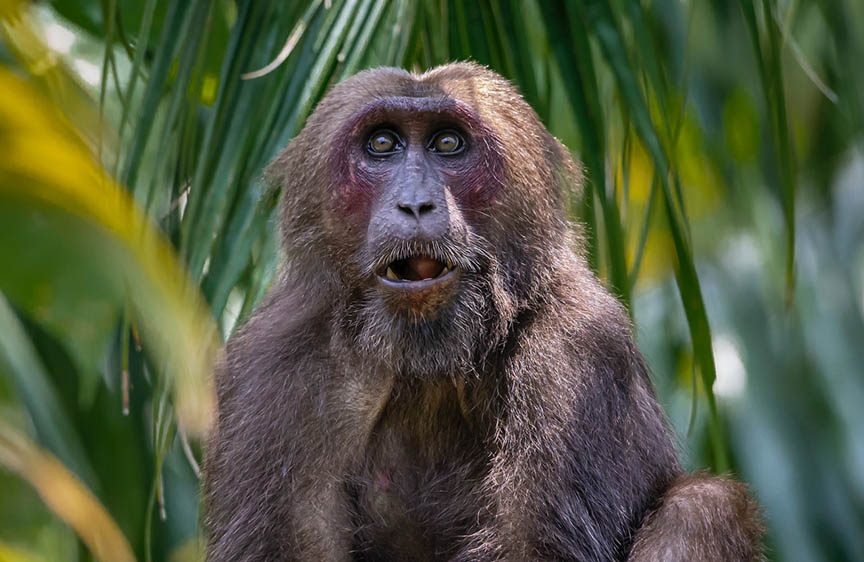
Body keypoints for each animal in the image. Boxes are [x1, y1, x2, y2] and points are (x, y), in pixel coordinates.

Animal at [204, 62, 764, 560]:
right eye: (382, 144)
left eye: (448, 144)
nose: (416, 203)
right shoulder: (275, 369)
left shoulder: (578, 350)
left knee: (703, 508)